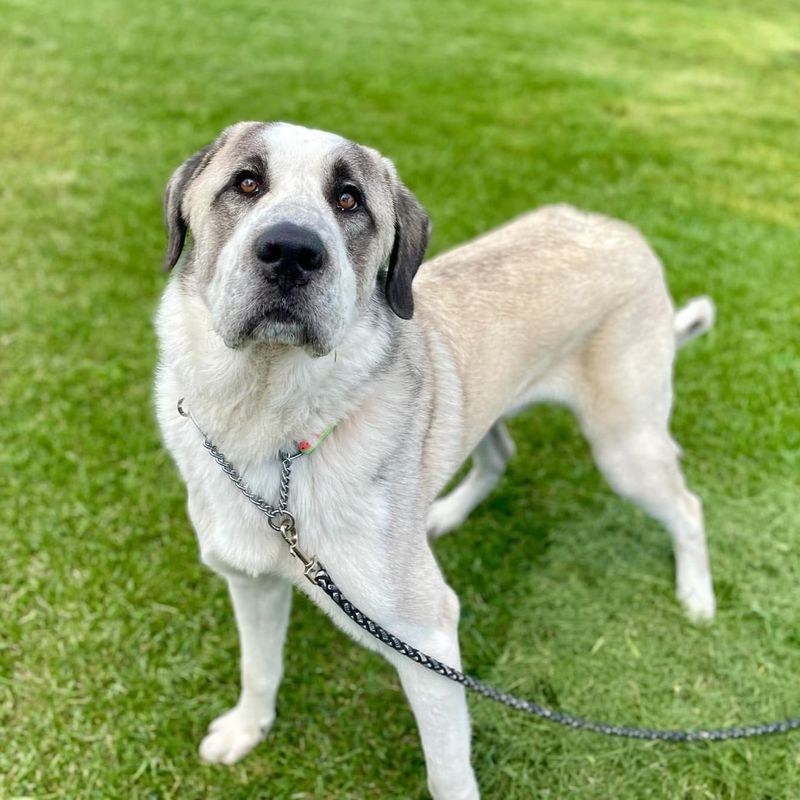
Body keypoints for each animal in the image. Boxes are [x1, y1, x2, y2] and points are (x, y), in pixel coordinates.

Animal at [153, 120, 716, 800]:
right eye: (245, 183)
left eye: (349, 200)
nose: (291, 251)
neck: (270, 427)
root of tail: (627, 235)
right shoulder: (250, 581)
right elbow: (258, 667)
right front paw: (246, 729)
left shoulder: (426, 636)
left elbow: (447, 769)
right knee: (501, 453)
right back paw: (444, 513)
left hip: (624, 445)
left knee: (688, 505)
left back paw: (697, 595)